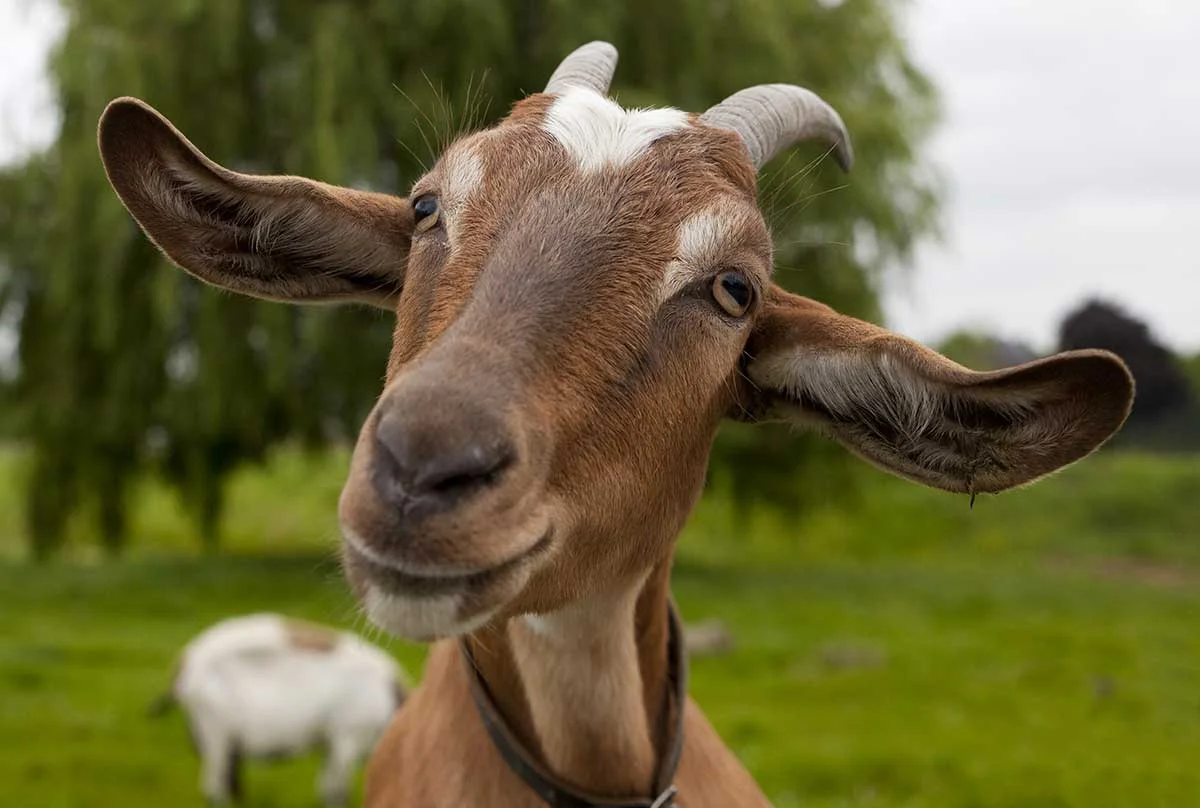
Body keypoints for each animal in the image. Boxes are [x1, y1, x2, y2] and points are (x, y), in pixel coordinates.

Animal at [152, 613, 407, 807]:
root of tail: (185, 662)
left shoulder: (332, 743)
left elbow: (326, 787)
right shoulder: (347, 738)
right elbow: (336, 792)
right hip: (214, 729)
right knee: (214, 785)